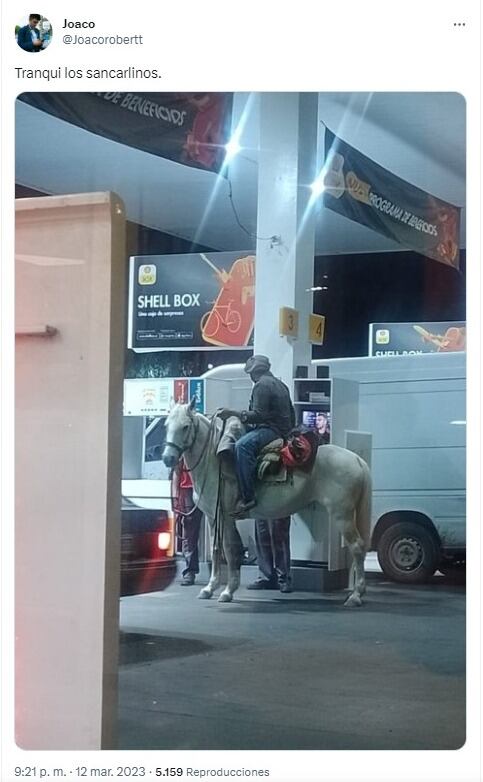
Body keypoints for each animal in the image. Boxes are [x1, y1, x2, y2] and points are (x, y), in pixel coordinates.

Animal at [164, 402, 372, 608]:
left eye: (185, 426)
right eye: (166, 425)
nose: (168, 458)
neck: (214, 461)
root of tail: (357, 459)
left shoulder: (225, 517)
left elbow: (230, 551)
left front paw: (227, 591)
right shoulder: (212, 517)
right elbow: (217, 550)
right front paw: (209, 589)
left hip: (342, 515)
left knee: (357, 547)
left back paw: (355, 596)